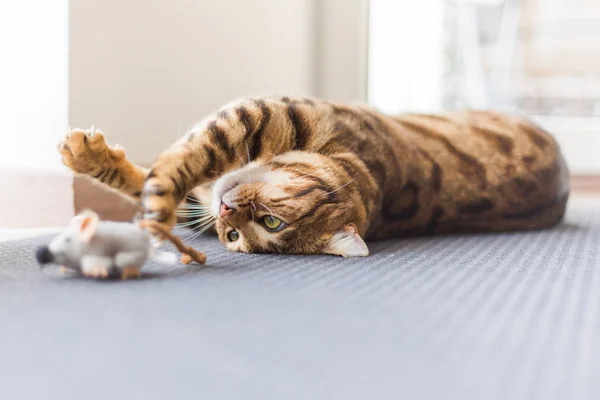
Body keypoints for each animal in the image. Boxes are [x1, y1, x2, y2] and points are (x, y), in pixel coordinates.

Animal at [58, 96, 568, 256]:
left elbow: (177, 167)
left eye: (265, 226)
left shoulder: (257, 115)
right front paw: (88, 155)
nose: (226, 212)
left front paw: (156, 205)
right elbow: (162, 168)